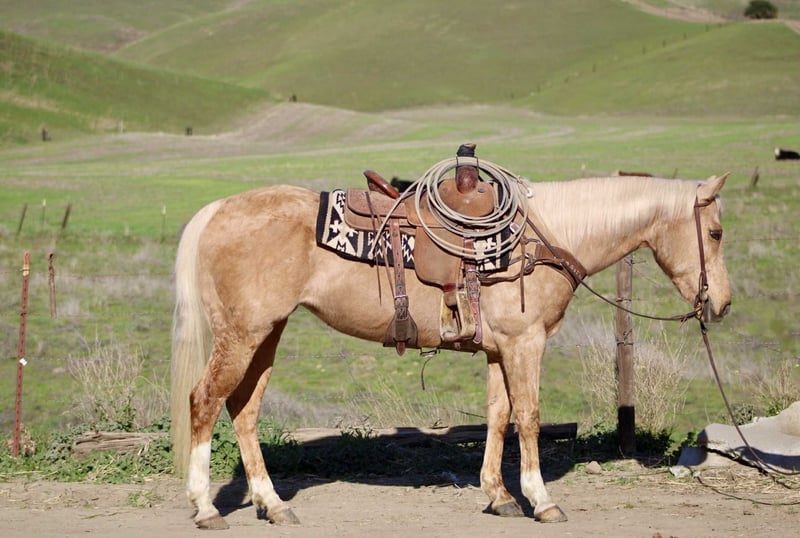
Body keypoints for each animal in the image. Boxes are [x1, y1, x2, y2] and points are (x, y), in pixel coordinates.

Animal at [170, 171, 731, 529]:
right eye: (717, 231)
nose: (721, 303)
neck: (543, 238)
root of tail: (217, 211)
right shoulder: (526, 344)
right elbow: (529, 417)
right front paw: (541, 499)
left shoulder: (500, 350)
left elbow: (499, 417)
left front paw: (499, 496)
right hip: (242, 335)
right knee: (204, 401)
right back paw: (206, 508)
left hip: (266, 334)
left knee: (244, 411)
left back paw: (273, 505)